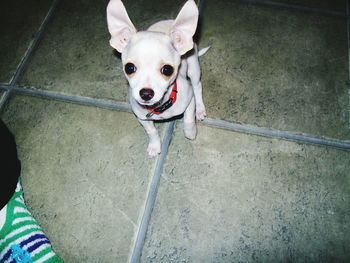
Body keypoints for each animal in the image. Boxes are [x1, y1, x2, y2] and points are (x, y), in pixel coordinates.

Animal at [105, 0, 206, 157]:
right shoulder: (142, 118)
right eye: (129, 68)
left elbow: (188, 119)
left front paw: (190, 132)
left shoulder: (189, 100)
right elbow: (151, 131)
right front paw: (154, 145)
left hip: (193, 66)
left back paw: (200, 109)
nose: (146, 93)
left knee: (197, 86)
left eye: (167, 70)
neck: (160, 107)